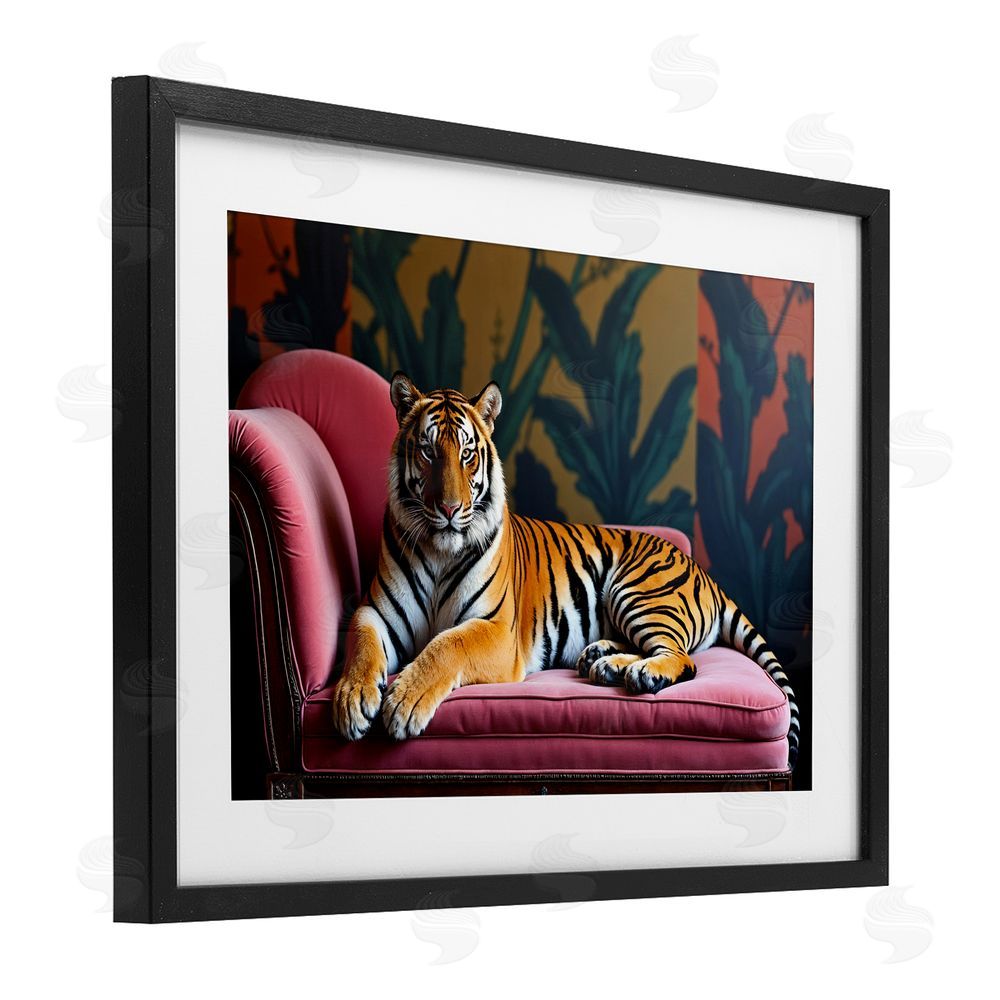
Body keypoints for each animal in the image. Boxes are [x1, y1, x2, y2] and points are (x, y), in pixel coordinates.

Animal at [332, 372, 800, 768]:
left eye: (466, 454)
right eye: (428, 451)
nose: (449, 509)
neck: (438, 551)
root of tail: (703, 571)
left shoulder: (496, 629)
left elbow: (446, 645)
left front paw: (403, 703)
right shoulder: (374, 612)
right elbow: (362, 646)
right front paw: (351, 701)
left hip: (638, 591)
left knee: (682, 659)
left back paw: (640, 673)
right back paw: (603, 661)